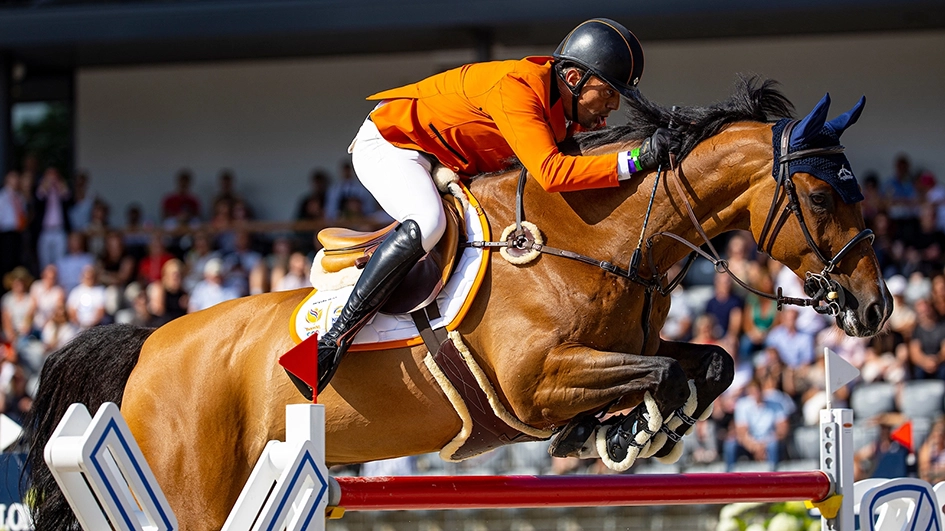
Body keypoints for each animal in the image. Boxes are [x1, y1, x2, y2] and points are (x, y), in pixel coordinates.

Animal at [25, 76, 890, 531]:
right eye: (821, 193)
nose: (874, 308)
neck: (597, 239)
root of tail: (149, 343)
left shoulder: (620, 349)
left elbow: (708, 361)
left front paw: (622, 433)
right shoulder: (534, 383)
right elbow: (657, 373)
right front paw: (621, 433)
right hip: (192, 491)